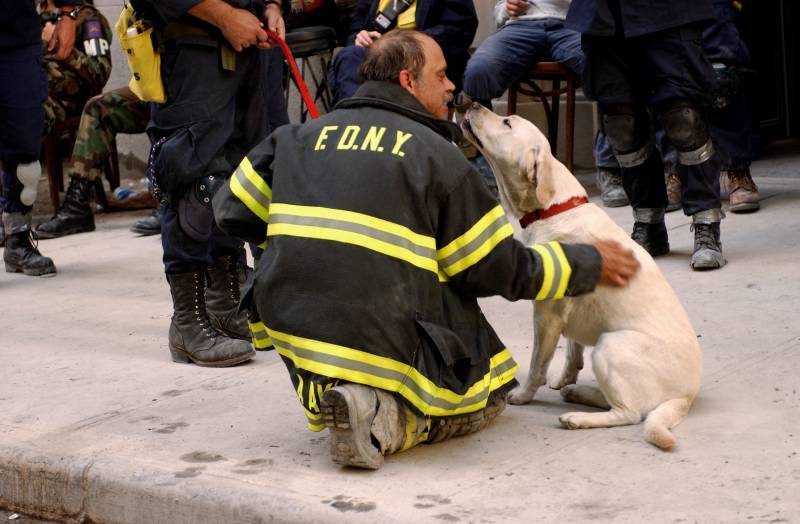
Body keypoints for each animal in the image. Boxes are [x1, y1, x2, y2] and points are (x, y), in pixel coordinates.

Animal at [460, 104, 704, 448]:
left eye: (507, 122)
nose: (471, 104)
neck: (554, 208)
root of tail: (686, 396)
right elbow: (572, 350)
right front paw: (565, 377)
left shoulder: (546, 316)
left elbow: (537, 364)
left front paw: (523, 395)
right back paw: (576, 391)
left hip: (610, 346)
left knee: (629, 413)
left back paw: (576, 417)